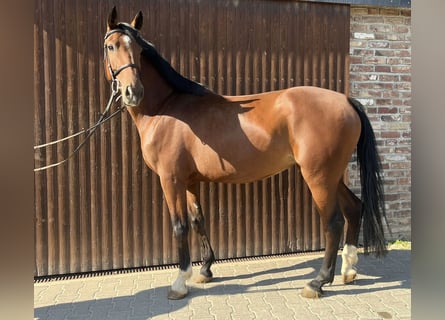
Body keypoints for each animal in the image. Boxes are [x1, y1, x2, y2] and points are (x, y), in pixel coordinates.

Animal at [103, 8, 386, 300]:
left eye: (138, 49)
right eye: (111, 46)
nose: (133, 92)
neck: (166, 108)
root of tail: (346, 101)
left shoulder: (171, 180)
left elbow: (179, 226)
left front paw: (180, 282)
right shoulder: (190, 181)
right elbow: (197, 221)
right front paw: (205, 270)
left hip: (318, 176)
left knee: (333, 222)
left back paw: (317, 282)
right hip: (332, 175)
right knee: (354, 208)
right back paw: (348, 271)